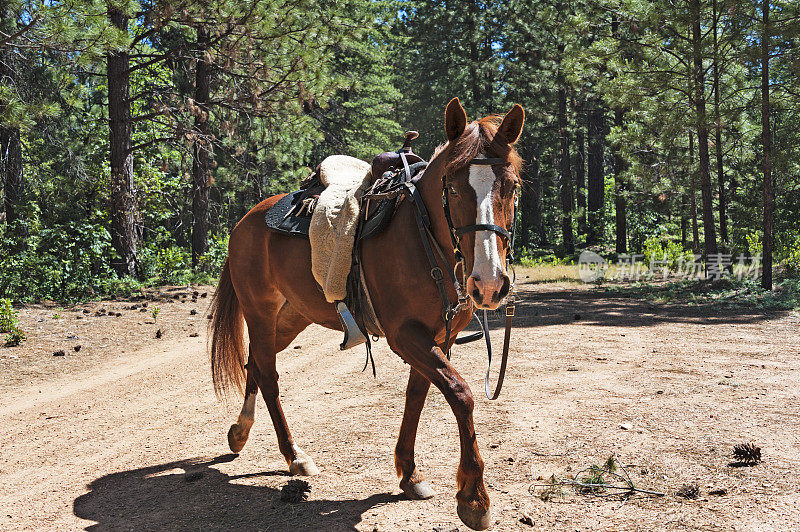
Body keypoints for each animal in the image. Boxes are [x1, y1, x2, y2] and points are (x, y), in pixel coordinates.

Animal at [208, 97, 524, 528]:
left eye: (511, 186)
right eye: (453, 186)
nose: (489, 284)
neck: (422, 238)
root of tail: (244, 222)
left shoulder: (437, 338)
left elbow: (418, 394)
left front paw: (409, 474)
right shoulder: (405, 335)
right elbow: (460, 393)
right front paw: (474, 497)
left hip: (289, 318)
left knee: (255, 364)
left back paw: (240, 432)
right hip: (259, 312)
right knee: (268, 376)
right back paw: (294, 456)